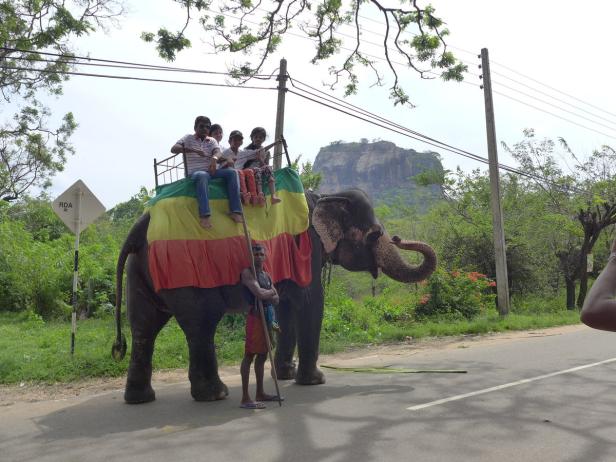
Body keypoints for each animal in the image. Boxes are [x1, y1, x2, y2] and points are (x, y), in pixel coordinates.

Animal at [112, 188, 438, 404]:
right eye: (373, 234)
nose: (397, 237)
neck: (325, 194)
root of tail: (141, 223)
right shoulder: (308, 246)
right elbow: (310, 301)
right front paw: (314, 381)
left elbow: (286, 305)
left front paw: (286, 375)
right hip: (186, 275)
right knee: (200, 326)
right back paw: (216, 394)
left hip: (137, 270)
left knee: (144, 327)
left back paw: (140, 399)